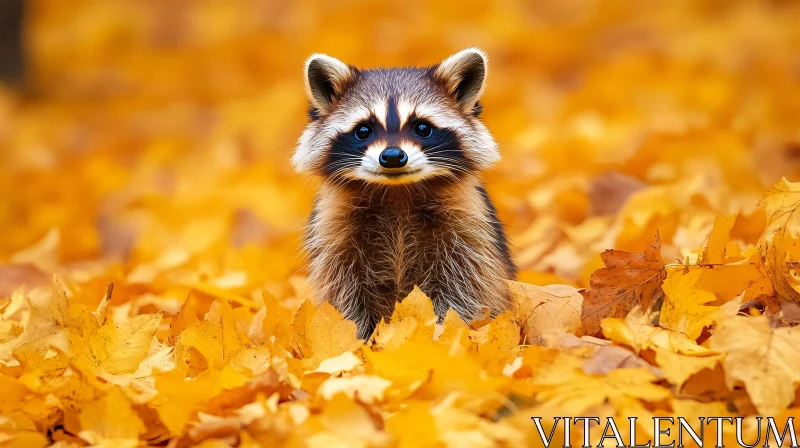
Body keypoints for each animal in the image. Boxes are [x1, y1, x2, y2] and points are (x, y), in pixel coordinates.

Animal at [294, 47, 520, 338]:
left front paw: (441, 332)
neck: (397, 192)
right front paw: (358, 338)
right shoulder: (332, 227)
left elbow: (465, 284)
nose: (392, 156)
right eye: (363, 130)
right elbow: (341, 290)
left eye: (422, 128)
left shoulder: (469, 222)